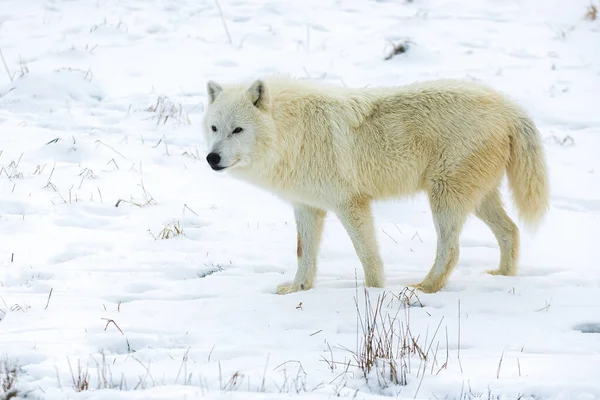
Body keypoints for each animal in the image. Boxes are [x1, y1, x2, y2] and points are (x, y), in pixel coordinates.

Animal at [204, 76, 552, 294]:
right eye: (214, 128)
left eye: (238, 129)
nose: (211, 158)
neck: (294, 133)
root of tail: (508, 106)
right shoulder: (307, 207)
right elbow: (304, 253)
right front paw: (298, 289)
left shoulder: (350, 203)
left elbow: (366, 252)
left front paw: (373, 291)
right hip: (478, 199)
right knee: (510, 231)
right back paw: (503, 276)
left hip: (444, 198)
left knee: (451, 250)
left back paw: (425, 288)